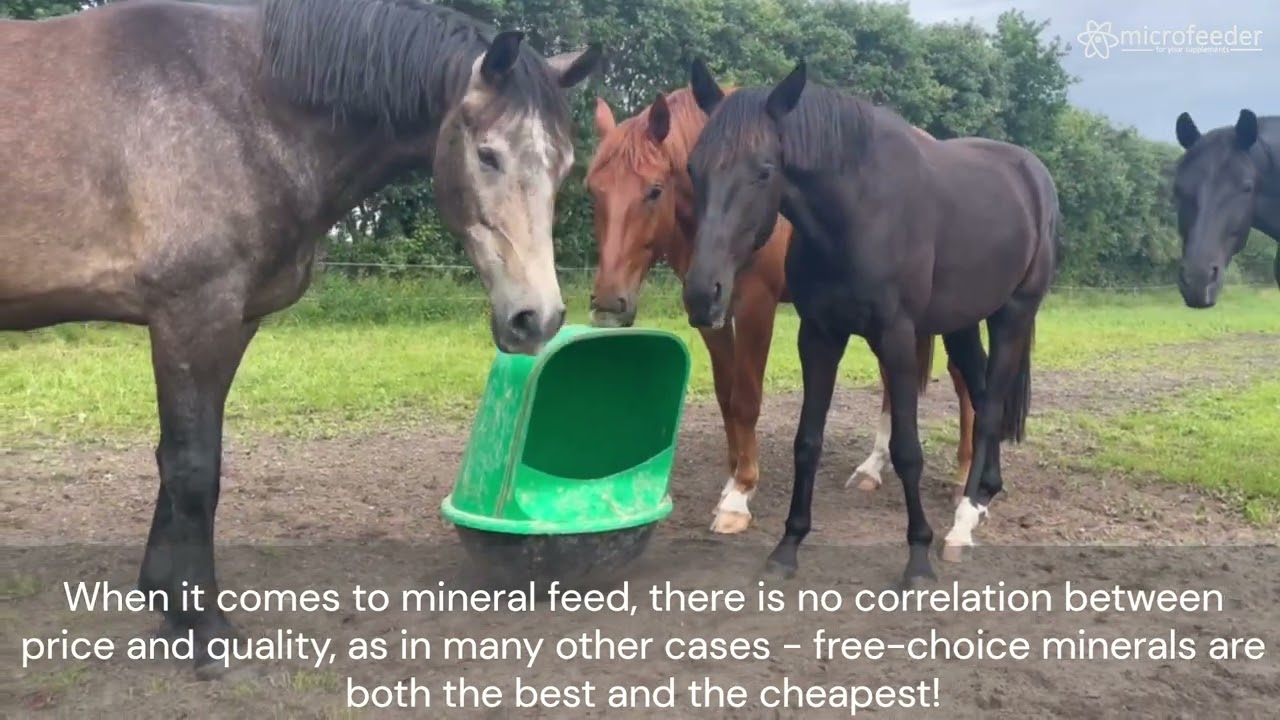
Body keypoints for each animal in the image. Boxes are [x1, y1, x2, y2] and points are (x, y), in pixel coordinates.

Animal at [0, 0, 601, 678]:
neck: (238, 101)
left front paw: (167, 601)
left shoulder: (232, 321)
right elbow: (190, 464)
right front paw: (203, 630)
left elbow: (192, 460)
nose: (537, 319)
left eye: (564, 165)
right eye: (489, 155)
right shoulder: (191, 313)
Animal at [584, 87, 976, 535]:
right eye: (592, 190)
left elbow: (746, 399)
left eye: (653, 190)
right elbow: (726, 394)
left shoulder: (756, 304)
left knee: (965, 383)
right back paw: (872, 468)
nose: (608, 304)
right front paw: (732, 476)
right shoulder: (711, 310)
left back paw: (965, 479)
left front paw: (740, 494)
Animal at [682, 59, 1060, 589]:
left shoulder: (897, 337)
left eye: (764, 170)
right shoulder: (818, 335)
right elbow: (807, 442)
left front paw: (917, 559)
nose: (703, 295)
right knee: (984, 392)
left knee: (989, 411)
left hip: (1014, 314)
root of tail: (1033, 174)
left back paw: (962, 525)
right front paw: (787, 546)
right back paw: (984, 493)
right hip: (961, 323)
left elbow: (907, 451)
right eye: (693, 168)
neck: (858, 212)